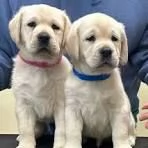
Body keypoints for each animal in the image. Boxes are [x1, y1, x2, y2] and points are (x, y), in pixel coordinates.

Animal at [8, 3, 71, 148]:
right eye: (31, 24)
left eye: (55, 27)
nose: (43, 36)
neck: (41, 66)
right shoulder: (24, 103)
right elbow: (26, 128)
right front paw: (26, 144)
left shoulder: (61, 103)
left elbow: (62, 129)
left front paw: (60, 144)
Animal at [64, 13, 136, 148]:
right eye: (91, 38)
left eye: (114, 38)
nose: (107, 51)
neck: (95, 77)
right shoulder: (72, 109)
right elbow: (73, 132)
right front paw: (72, 145)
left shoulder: (119, 109)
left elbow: (120, 133)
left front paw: (122, 144)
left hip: (130, 118)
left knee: (130, 129)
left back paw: (130, 139)